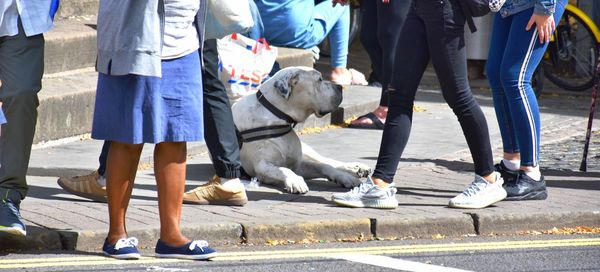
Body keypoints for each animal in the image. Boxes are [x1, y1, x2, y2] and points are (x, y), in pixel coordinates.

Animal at [233, 66, 370, 193]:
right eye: (319, 80)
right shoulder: (261, 167)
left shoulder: (298, 164)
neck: (277, 118)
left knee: (326, 160)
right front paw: (295, 181)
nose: (339, 87)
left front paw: (345, 177)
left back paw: (356, 168)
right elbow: (284, 169)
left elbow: (323, 166)